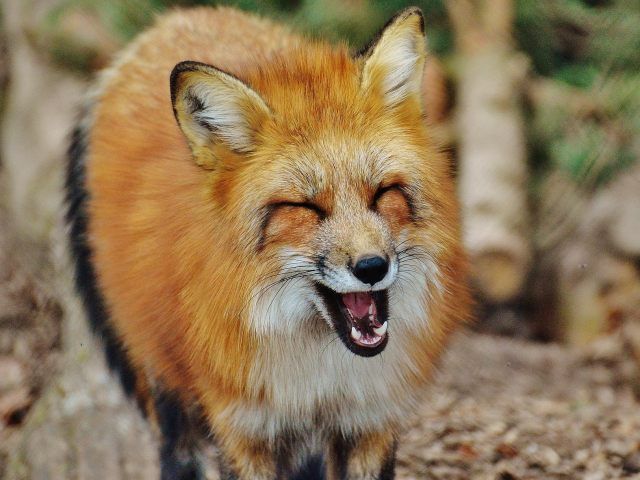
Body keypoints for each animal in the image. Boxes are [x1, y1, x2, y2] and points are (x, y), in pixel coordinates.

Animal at [65, 5, 470, 480]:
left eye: (382, 193)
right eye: (305, 207)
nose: (372, 267)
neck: (320, 378)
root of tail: (175, 19)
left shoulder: (371, 419)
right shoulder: (243, 428)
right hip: (167, 387)